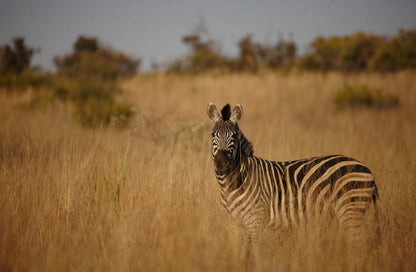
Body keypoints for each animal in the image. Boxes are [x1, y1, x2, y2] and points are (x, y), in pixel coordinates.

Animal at [206, 103, 378, 242]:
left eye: (234, 135)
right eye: (213, 134)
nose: (221, 161)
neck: (231, 184)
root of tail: (366, 168)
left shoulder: (256, 220)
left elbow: (255, 254)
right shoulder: (235, 223)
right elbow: (241, 255)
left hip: (351, 209)